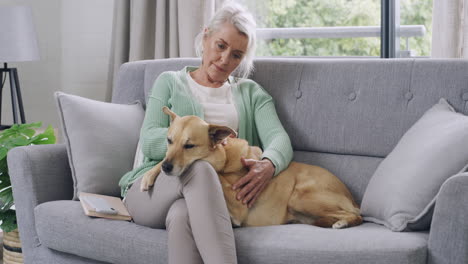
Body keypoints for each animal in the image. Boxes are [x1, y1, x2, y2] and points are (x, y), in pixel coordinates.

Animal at [142, 107, 362, 229]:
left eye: (189, 146)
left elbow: (205, 165)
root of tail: (352, 198)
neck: (226, 159)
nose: (168, 168)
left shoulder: (238, 205)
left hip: (300, 198)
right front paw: (149, 174)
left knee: (356, 216)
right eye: (169, 140)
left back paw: (342, 222)